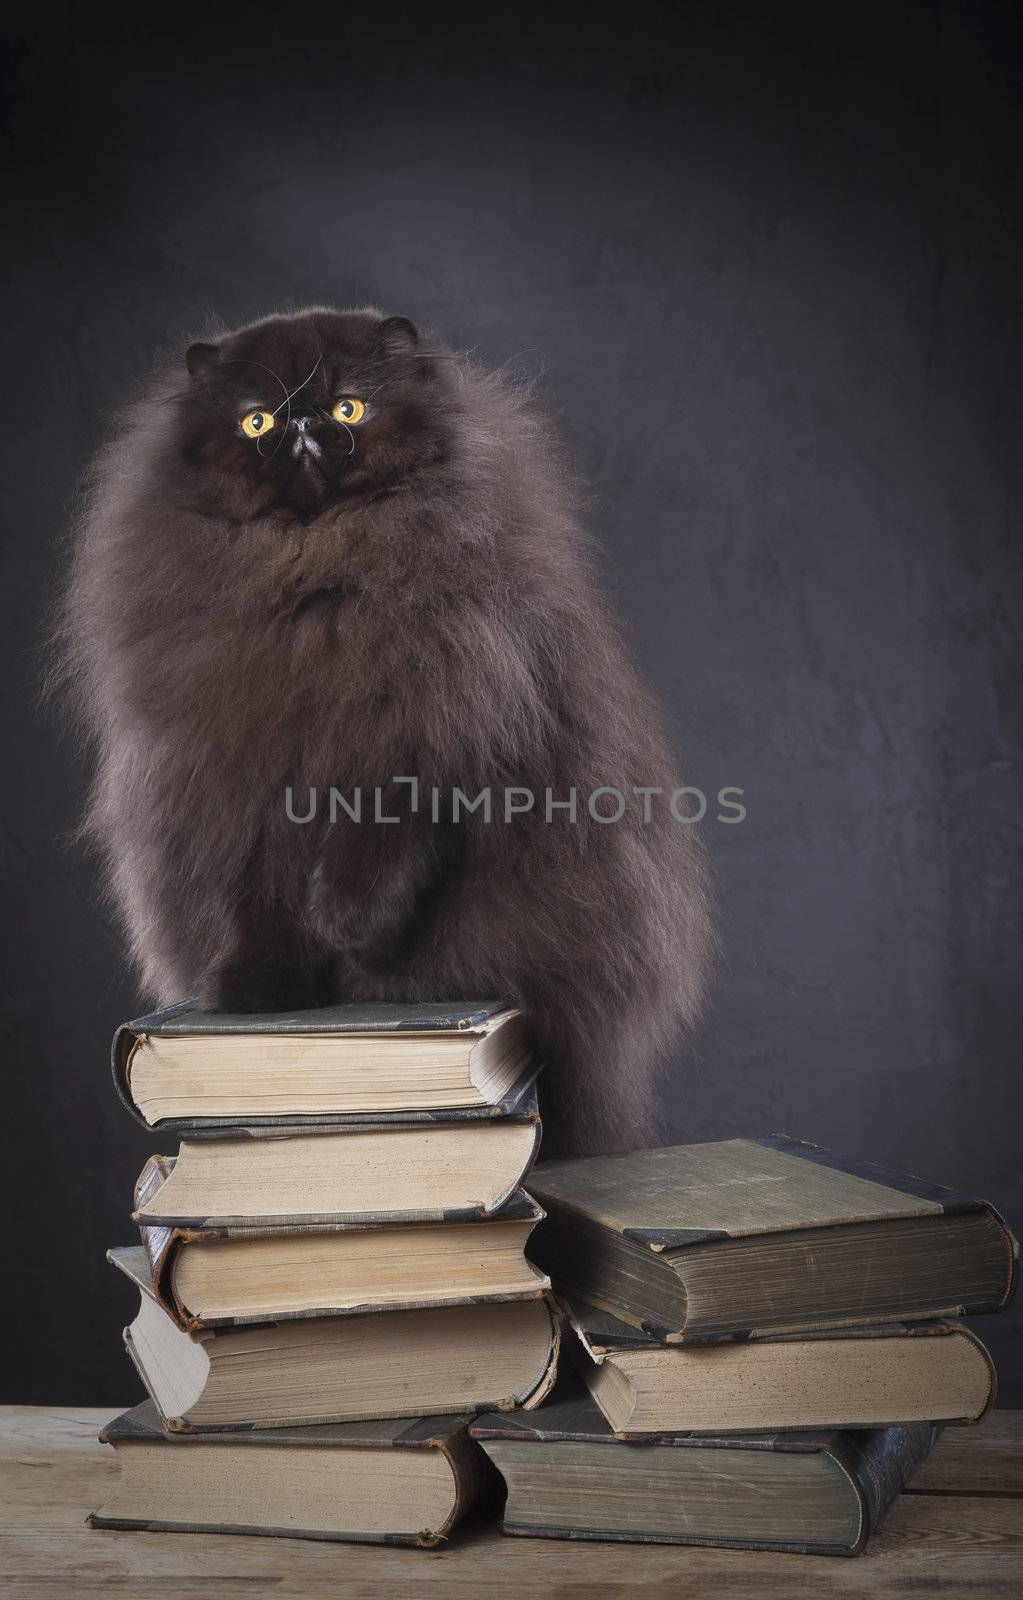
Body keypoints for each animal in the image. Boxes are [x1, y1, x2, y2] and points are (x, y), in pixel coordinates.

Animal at [58, 305, 710, 1152]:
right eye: (254, 421)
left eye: (348, 408)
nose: (300, 423)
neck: (313, 586)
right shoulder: (241, 784)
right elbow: (262, 905)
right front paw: (260, 989)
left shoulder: (421, 740)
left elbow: (374, 854)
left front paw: (348, 928)